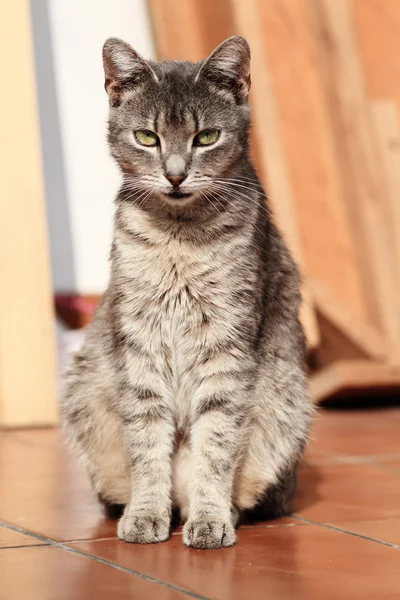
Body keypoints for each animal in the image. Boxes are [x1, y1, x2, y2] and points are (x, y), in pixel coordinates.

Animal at [61, 34, 312, 548]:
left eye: (206, 137)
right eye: (147, 138)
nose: (175, 175)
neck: (178, 236)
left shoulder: (226, 346)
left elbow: (215, 445)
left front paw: (209, 518)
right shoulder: (140, 341)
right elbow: (146, 441)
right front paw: (145, 512)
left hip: (286, 404)